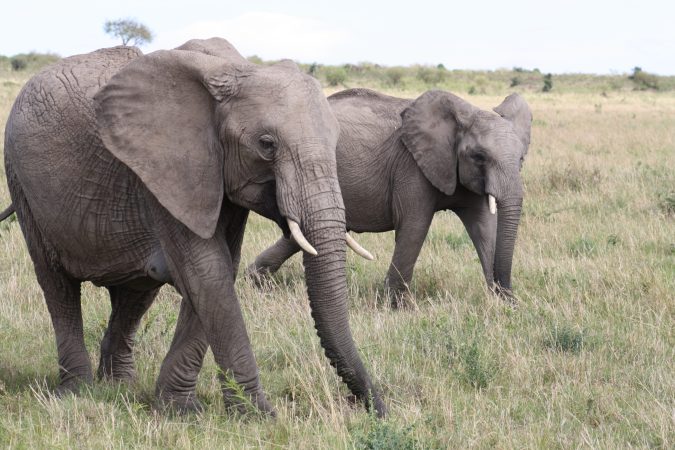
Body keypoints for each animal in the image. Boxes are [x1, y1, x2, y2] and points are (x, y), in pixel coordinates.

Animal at [2, 38, 386, 414]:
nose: (374, 407)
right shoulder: (167, 170)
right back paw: (77, 392)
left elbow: (220, 269)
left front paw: (177, 409)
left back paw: (117, 387)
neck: (234, 70)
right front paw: (258, 415)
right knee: (57, 285)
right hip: (21, 181)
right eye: (266, 145)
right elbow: (207, 271)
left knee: (136, 292)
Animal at [246, 88, 532, 306]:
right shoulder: (411, 166)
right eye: (479, 156)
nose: (508, 292)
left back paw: (255, 280)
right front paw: (398, 307)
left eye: (521, 159)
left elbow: (484, 227)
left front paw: (506, 304)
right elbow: (415, 225)